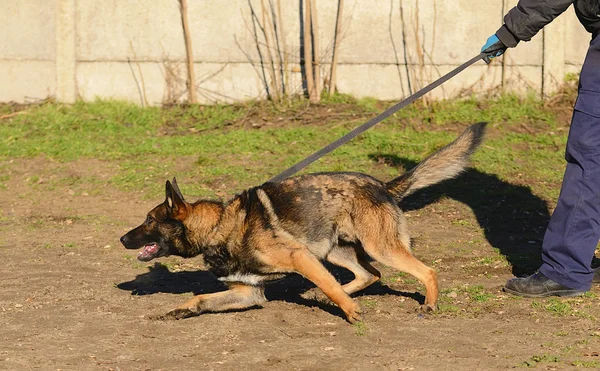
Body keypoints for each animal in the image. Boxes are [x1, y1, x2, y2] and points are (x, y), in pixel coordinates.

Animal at [119, 123, 486, 324]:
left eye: (149, 220)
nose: (122, 239)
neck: (220, 226)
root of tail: (383, 185)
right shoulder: (248, 293)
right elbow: (200, 300)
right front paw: (175, 312)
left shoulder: (299, 258)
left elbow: (328, 284)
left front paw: (350, 312)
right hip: (333, 251)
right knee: (368, 274)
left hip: (375, 248)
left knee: (425, 272)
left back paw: (429, 303)